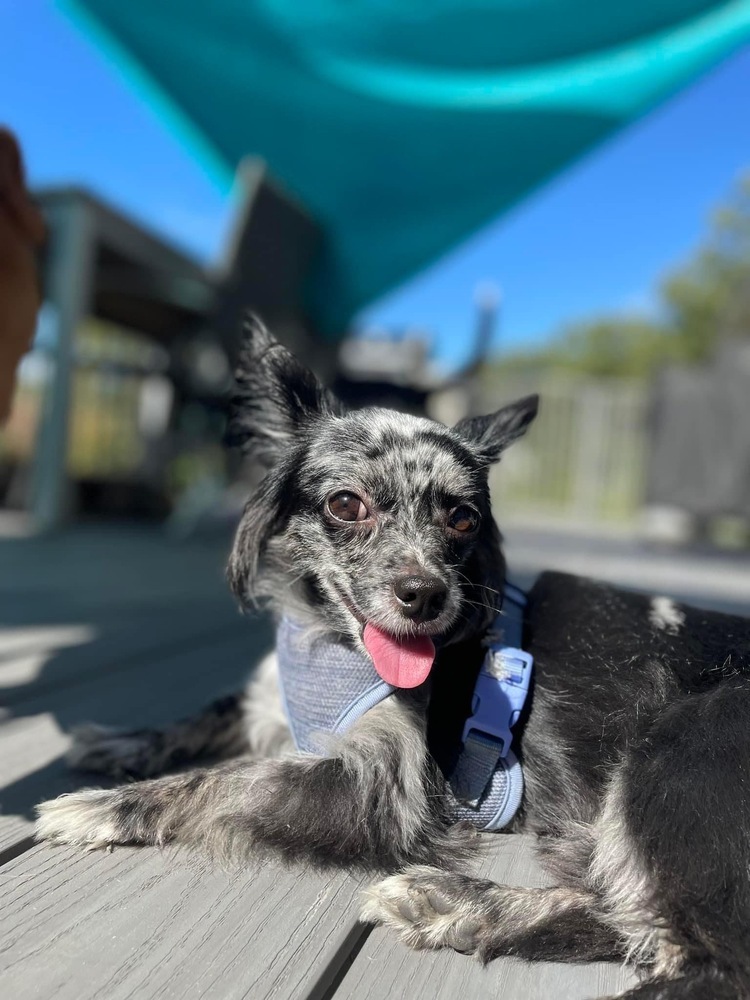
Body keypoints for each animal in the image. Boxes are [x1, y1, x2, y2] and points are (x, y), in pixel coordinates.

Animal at [35, 320, 750, 1000]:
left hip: (680, 744)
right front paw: (124, 740)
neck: (327, 640)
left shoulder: (380, 785)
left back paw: (463, 901)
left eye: (463, 519)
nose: (426, 593)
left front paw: (106, 805)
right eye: (346, 504)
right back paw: (464, 909)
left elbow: (230, 781)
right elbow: (212, 712)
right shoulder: (268, 704)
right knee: (632, 922)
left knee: (709, 962)